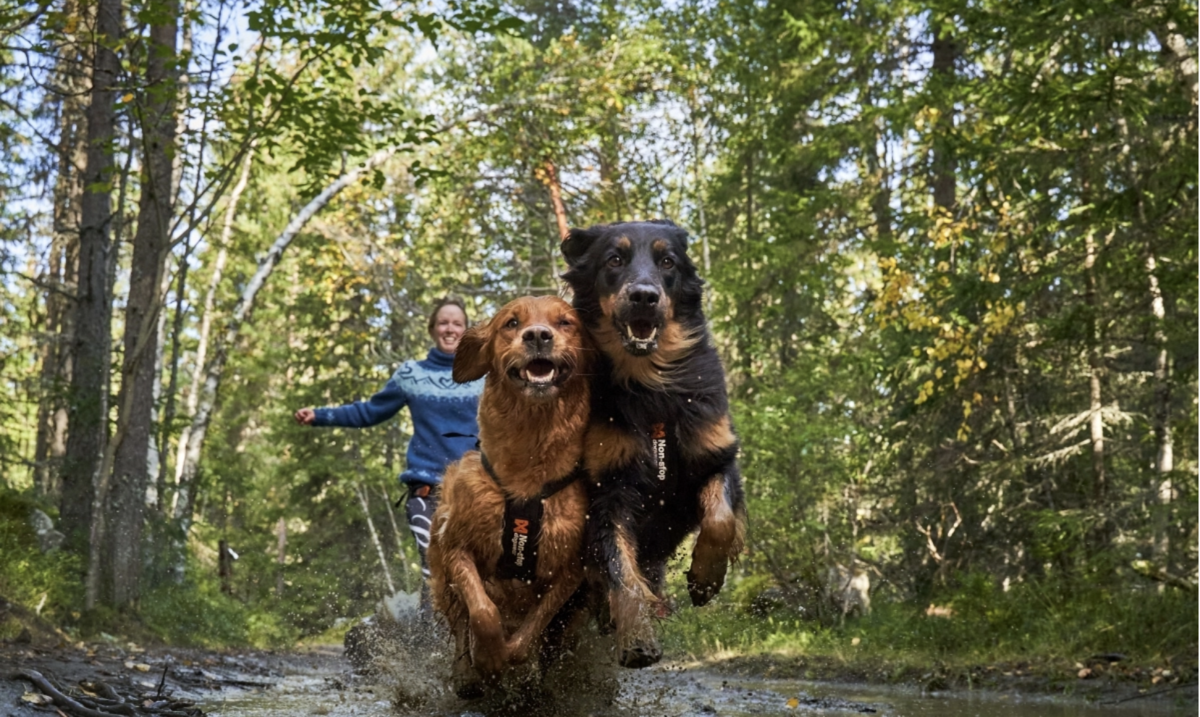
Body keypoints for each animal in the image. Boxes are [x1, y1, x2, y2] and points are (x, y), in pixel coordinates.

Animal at [429, 294, 592, 700]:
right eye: (512, 323)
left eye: (566, 322)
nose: (537, 335)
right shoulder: (457, 547)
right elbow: (483, 612)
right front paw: (487, 660)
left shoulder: (571, 569)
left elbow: (532, 631)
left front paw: (508, 657)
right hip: (441, 578)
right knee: (460, 625)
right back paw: (466, 676)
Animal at [559, 221, 744, 671]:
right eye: (614, 259)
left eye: (668, 262)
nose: (644, 295)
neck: (650, 385)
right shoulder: (609, 491)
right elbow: (620, 571)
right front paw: (637, 638)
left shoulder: (716, 452)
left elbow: (720, 517)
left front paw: (705, 579)